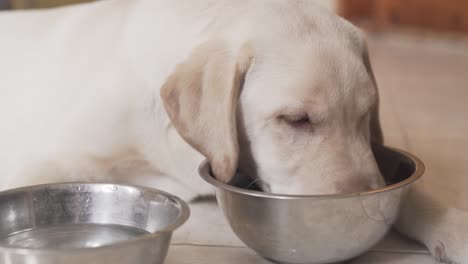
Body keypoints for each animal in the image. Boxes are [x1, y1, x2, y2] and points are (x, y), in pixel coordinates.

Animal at [0, 0, 466, 262]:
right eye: (296, 120)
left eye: (366, 116)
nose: (368, 210)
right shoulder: (47, 163)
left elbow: (412, 193)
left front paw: (451, 226)